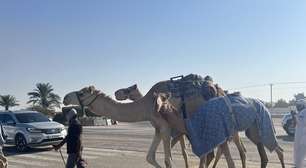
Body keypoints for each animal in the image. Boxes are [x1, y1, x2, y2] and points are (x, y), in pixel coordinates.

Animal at [157, 92, 286, 168]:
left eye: (163, 100)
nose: (158, 107)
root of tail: (265, 105)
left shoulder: (218, 135)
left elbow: (228, 162)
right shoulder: (215, 138)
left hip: (264, 122)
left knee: (273, 148)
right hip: (253, 129)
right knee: (265, 153)